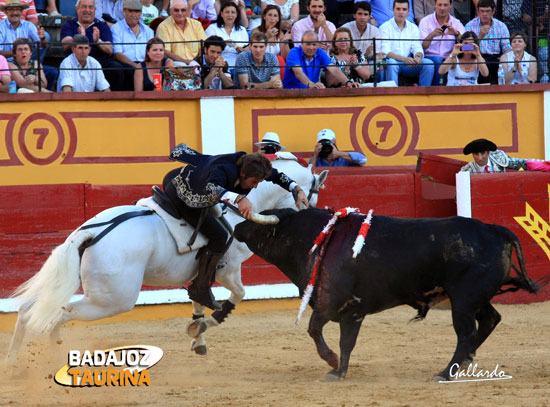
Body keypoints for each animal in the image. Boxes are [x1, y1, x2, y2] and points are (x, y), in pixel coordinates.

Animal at [6, 158, 328, 362]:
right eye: (313, 195)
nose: (311, 218)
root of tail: (91, 232)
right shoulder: (229, 268)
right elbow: (237, 295)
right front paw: (207, 325)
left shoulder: (202, 273)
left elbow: (198, 298)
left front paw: (198, 337)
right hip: (113, 300)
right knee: (59, 315)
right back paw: (54, 353)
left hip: (77, 287)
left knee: (29, 310)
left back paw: (13, 363)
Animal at [234, 209, 544, 380]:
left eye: (257, 221)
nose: (236, 227)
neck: (316, 238)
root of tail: (496, 230)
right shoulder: (352, 313)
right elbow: (347, 343)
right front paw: (339, 372)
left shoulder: (329, 305)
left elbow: (314, 330)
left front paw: (331, 362)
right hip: (475, 298)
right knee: (490, 319)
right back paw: (465, 362)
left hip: (464, 301)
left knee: (467, 333)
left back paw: (447, 372)